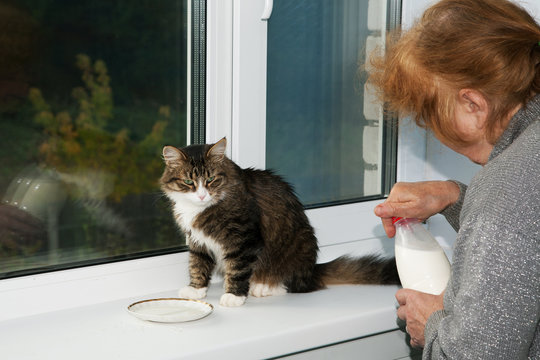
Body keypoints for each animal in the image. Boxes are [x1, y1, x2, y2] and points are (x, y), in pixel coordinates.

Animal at [158, 138, 398, 306]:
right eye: (189, 182)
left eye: (210, 180)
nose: (201, 195)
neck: (200, 208)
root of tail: (312, 269)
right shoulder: (198, 241)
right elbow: (197, 265)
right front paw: (196, 290)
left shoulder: (244, 239)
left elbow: (237, 269)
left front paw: (234, 296)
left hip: (299, 245)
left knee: (295, 285)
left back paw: (263, 286)